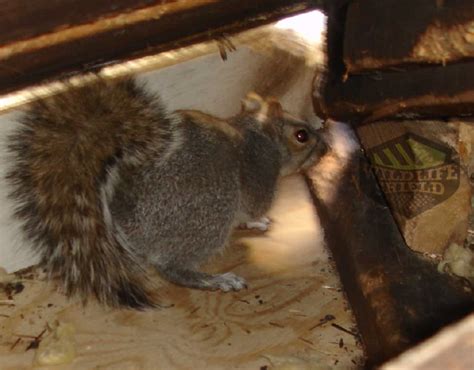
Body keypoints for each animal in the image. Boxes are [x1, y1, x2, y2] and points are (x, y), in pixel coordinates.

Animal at [6, 78, 326, 310]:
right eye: (301, 136)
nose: (325, 148)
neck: (257, 136)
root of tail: (125, 222)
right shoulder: (259, 175)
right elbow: (253, 207)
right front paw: (258, 220)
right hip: (210, 212)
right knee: (173, 268)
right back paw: (217, 280)